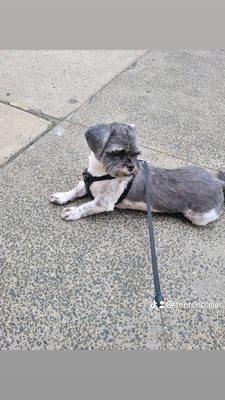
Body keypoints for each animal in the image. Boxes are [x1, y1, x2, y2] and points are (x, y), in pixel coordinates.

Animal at [50, 122, 225, 227]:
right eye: (117, 152)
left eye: (136, 153)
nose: (131, 167)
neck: (102, 173)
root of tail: (218, 182)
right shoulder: (86, 183)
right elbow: (75, 190)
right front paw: (62, 196)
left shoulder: (103, 203)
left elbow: (85, 207)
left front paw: (73, 211)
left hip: (199, 217)